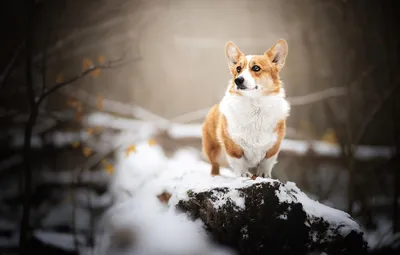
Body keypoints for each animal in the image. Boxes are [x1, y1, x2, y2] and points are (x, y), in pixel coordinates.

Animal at [202, 39, 290, 178]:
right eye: (238, 69)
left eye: (256, 68)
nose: (238, 80)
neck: (254, 106)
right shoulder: (232, 145)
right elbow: (239, 161)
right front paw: (244, 174)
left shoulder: (274, 145)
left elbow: (267, 162)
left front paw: (264, 174)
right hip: (215, 151)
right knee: (215, 166)